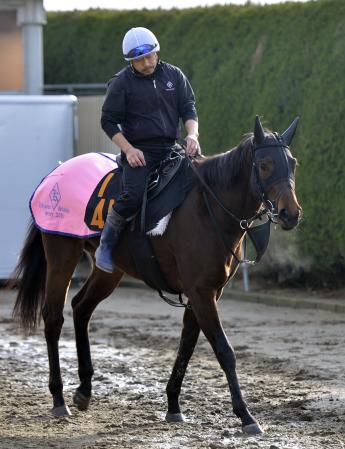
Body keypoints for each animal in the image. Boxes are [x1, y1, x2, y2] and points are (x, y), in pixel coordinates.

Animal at [10, 115, 300, 434]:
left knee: (81, 307)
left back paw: (84, 389)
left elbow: (187, 344)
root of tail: (54, 174)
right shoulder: (201, 292)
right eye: (265, 164)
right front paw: (246, 415)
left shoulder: (206, 293)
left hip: (109, 269)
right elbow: (224, 350)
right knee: (53, 318)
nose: (291, 213)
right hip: (62, 255)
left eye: (293, 163)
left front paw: (174, 405)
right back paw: (58, 398)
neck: (207, 207)